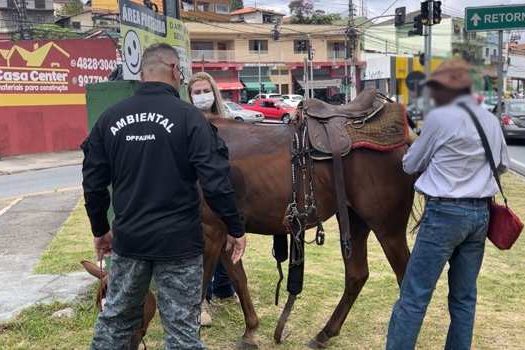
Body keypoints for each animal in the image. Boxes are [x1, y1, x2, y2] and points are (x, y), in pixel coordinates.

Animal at [200, 117, 414, 348]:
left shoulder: (210, 231)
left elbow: (201, 284)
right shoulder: (225, 232)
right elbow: (238, 278)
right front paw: (251, 330)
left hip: (388, 230)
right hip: (354, 221)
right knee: (357, 275)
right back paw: (325, 333)